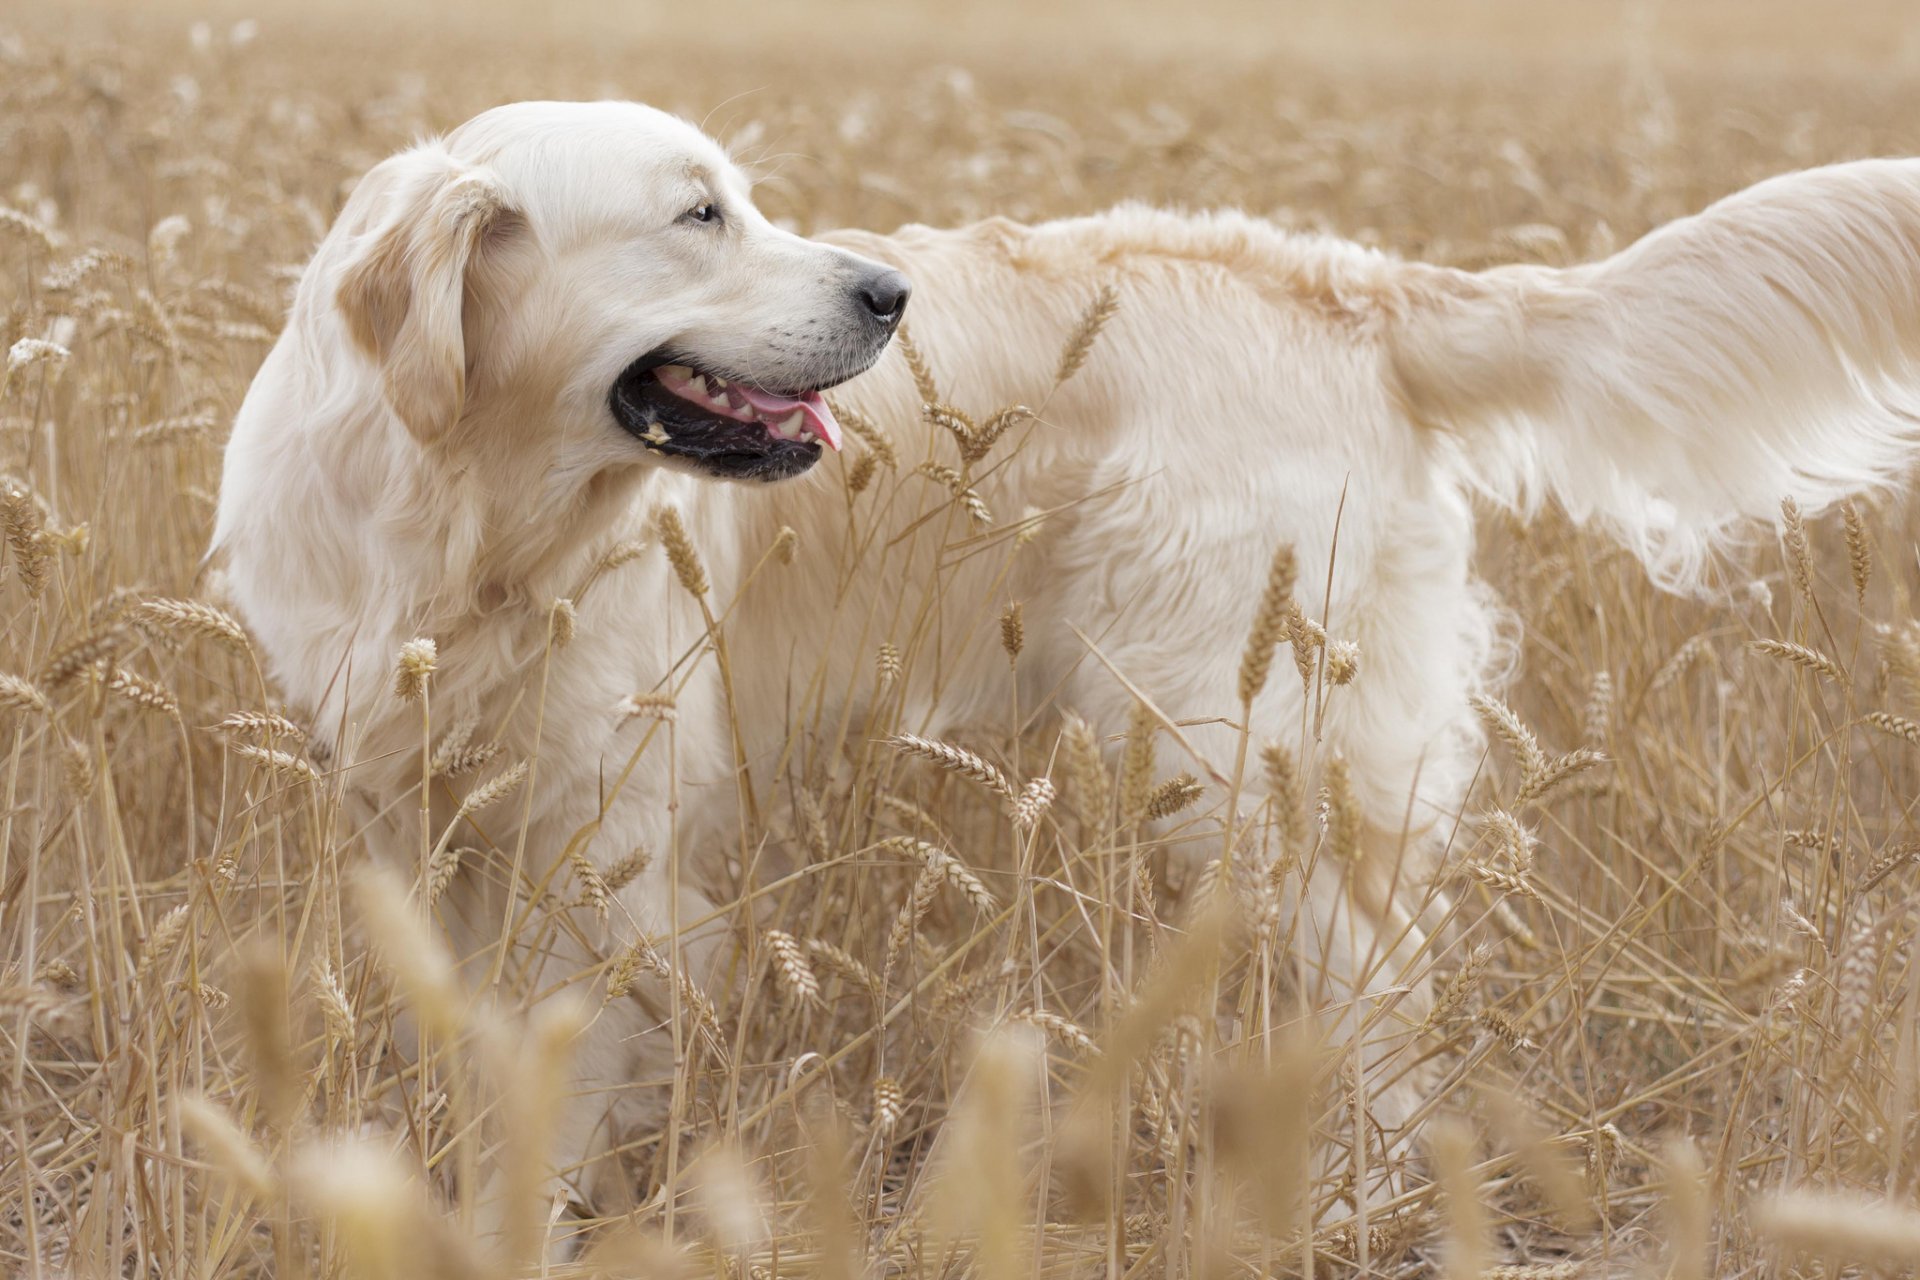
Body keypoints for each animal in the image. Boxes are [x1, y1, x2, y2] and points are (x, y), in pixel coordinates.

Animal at [214, 100, 1920, 1220]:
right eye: (698, 216)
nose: (889, 291)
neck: (465, 522)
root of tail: (1347, 282)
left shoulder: (601, 847)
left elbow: (559, 1079)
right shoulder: (415, 819)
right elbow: (463, 1048)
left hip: (1235, 747)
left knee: (1378, 995)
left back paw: (1351, 1202)